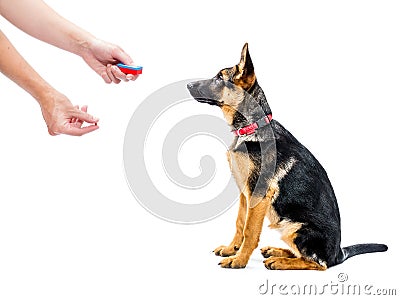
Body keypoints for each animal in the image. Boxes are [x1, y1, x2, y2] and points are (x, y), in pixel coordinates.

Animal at [188, 42, 388, 270]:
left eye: (220, 78)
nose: (188, 85)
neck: (252, 126)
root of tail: (338, 253)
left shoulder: (258, 193)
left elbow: (249, 231)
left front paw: (239, 260)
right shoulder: (244, 193)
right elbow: (240, 223)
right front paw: (232, 249)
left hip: (298, 229)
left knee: (317, 264)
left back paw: (280, 261)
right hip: (285, 227)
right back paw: (276, 251)